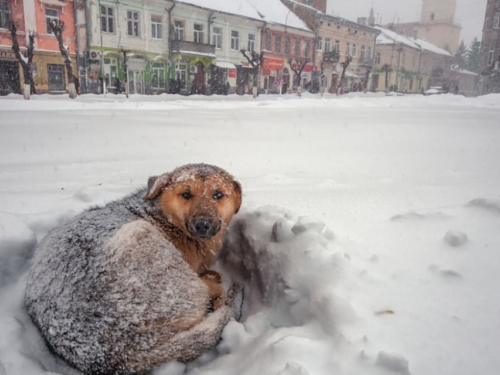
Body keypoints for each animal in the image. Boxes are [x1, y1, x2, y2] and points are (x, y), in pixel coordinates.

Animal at [26, 164, 243, 375]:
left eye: (218, 195)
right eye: (186, 194)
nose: (202, 225)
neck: (164, 218)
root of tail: (120, 354)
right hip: (145, 243)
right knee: (212, 293)